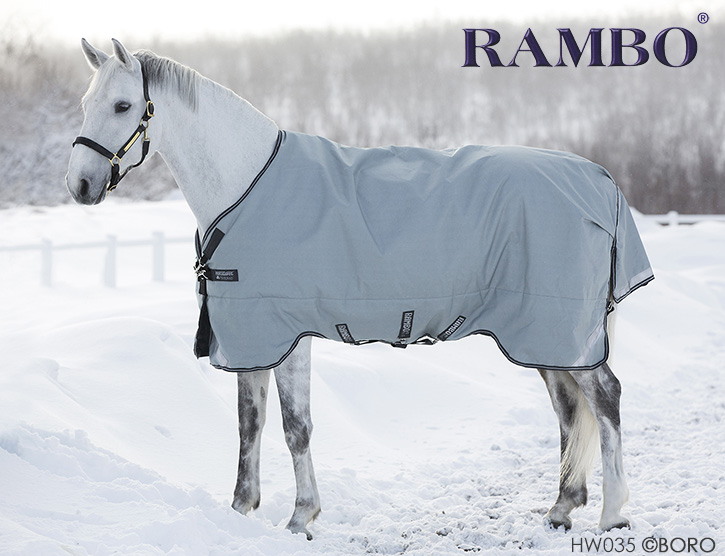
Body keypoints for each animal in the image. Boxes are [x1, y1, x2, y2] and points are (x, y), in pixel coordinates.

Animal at [66, 39, 651, 540]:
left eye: (122, 105)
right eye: (86, 103)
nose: (80, 185)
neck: (247, 186)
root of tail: (599, 181)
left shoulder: (286, 335)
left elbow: (295, 427)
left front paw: (301, 518)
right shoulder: (251, 338)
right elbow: (249, 425)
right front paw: (241, 511)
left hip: (561, 328)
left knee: (605, 397)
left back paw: (612, 514)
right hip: (544, 336)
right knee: (570, 409)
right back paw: (562, 508)